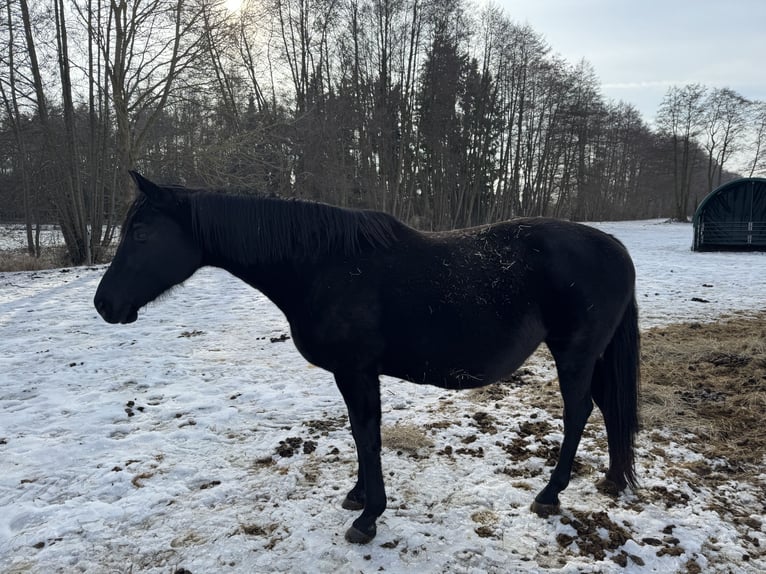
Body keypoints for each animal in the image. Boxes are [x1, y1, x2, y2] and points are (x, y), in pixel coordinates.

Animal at [94, 172, 640, 544]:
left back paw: (550, 495)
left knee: (578, 413)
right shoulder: (350, 373)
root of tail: (613, 246)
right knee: (606, 410)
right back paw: (613, 480)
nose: (105, 305)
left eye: (141, 234)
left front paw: (368, 516)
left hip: (574, 354)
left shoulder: (357, 371)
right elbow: (361, 434)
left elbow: (367, 434)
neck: (323, 265)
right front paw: (358, 497)